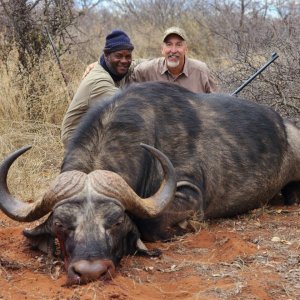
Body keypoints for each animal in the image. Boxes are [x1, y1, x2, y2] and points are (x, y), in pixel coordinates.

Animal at [0, 81, 298, 284]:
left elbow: (152, 224)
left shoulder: (188, 194)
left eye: (116, 222)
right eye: (61, 225)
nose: (91, 272)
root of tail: (285, 127)